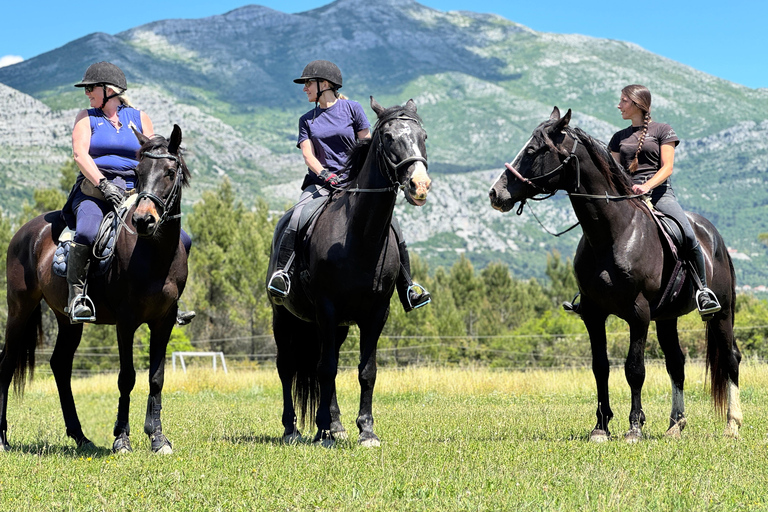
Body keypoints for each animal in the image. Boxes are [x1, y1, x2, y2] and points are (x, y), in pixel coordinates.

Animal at [0, 125, 191, 453]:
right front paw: (122, 439)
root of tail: (25, 231)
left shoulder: (164, 320)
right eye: (138, 172)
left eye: (169, 172)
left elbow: (156, 378)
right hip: (19, 309)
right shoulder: (126, 321)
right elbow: (126, 377)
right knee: (7, 364)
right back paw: (2, 438)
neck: (154, 254)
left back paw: (80, 436)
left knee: (60, 365)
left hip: (67, 319)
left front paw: (157, 438)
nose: (143, 220)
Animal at [489, 107, 741, 442]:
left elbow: (634, 369)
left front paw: (634, 427)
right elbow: (601, 367)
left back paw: (732, 425)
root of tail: (714, 237)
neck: (613, 234)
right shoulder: (593, 314)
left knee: (730, 358)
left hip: (721, 312)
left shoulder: (638, 313)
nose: (495, 193)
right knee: (677, 363)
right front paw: (601, 426)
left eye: (532, 151)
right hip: (667, 318)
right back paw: (675, 425)